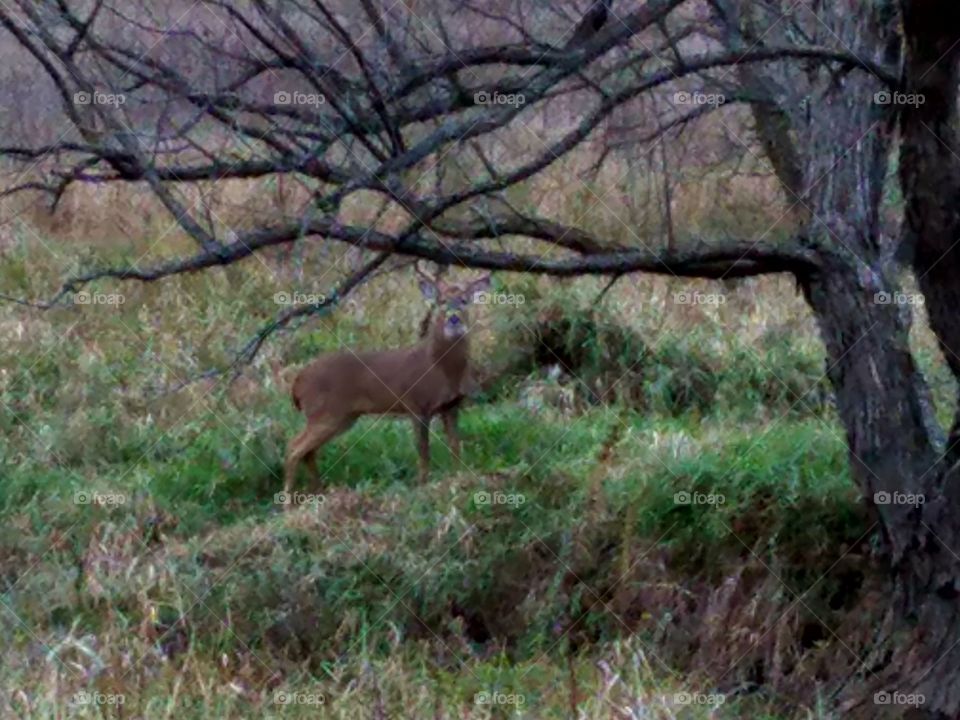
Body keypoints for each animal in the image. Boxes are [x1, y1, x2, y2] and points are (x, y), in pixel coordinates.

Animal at [282, 264, 491, 505]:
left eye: (464, 300)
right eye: (441, 301)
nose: (454, 319)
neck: (440, 368)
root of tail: (297, 383)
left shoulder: (451, 405)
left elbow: (455, 445)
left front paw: (459, 477)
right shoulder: (416, 403)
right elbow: (423, 450)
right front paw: (423, 485)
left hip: (343, 417)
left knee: (308, 451)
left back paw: (319, 493)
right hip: (325, 412)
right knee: (294, 447)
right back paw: (288, 502)